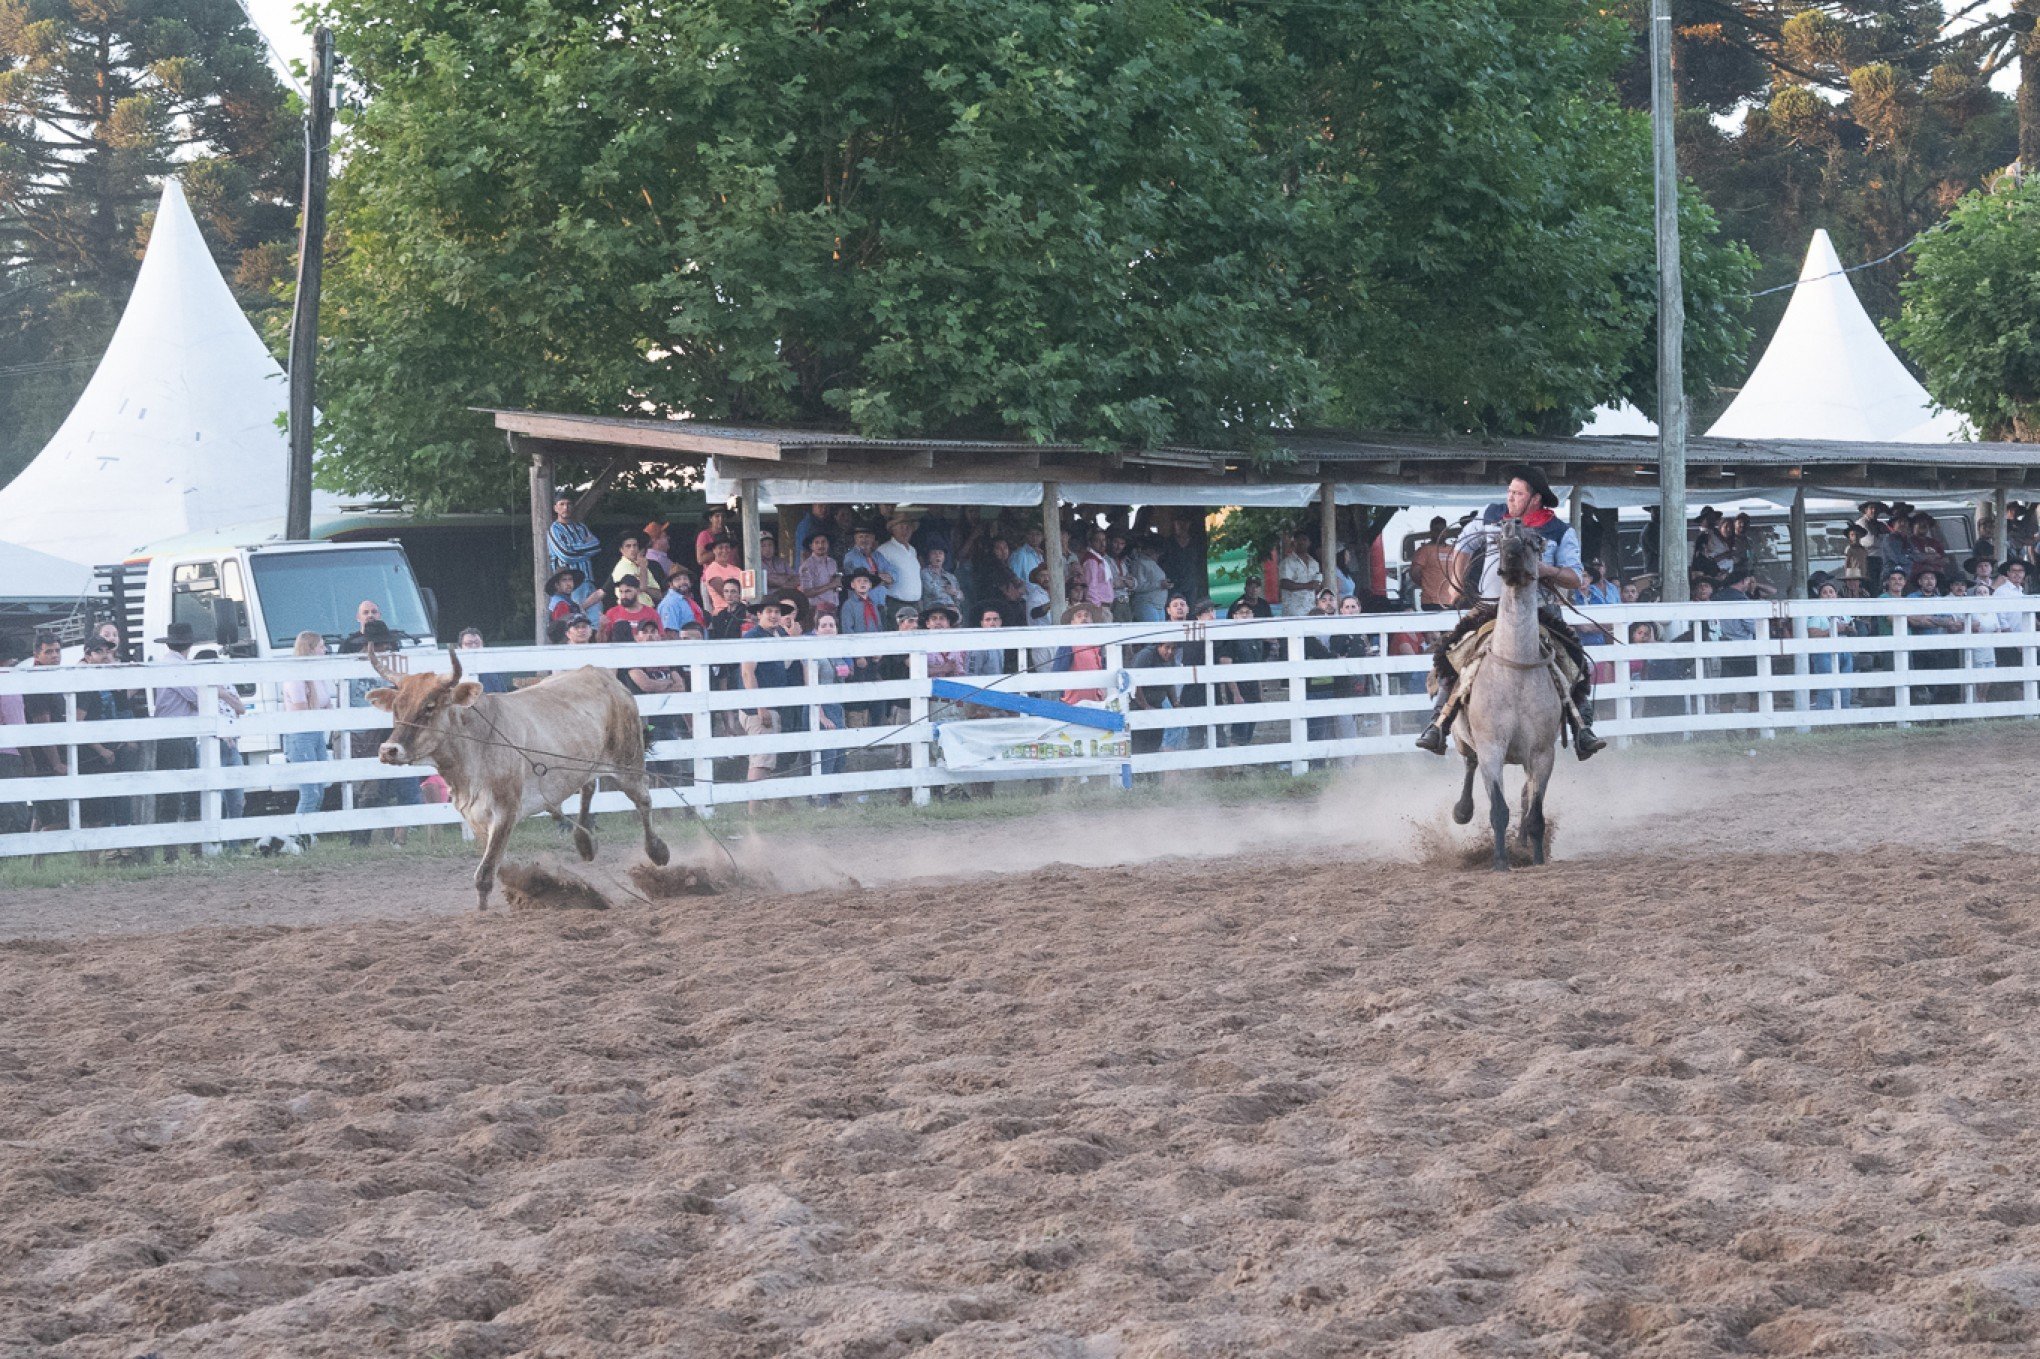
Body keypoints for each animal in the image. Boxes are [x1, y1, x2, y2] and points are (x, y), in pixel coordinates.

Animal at [357, 648, 660, 905]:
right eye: (397, 707)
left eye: (430, 706)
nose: (388, 750)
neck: (476, 747)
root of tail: (601, 674)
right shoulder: (475, 815)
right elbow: (495, 867)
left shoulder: (506, 811)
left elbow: (485, 875)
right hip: (583, 764)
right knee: (587, 787)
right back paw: (584, 842)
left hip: (628, 762)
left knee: (643, 799)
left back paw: (657, 851)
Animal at [1452, 518, 1558, 869]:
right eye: (1498, 539)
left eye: (1536, 540)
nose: (1511, 551)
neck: (1515, 672)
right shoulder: (1491, 748)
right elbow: (1498, 808)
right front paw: (1500, 862)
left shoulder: (1542, 753)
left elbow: (1535, 812)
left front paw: (1536, 858)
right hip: (1463, 739)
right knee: (1469, 764)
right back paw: (1462, 810)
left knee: (1526, 795)